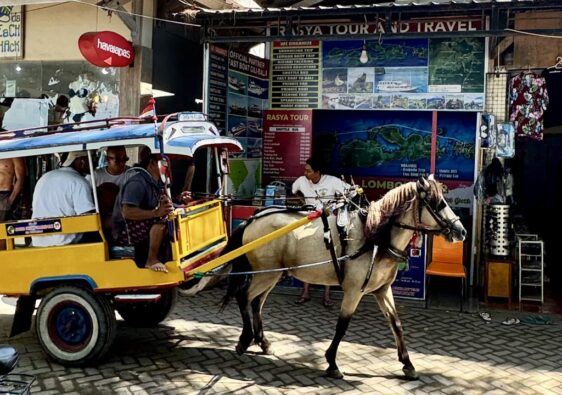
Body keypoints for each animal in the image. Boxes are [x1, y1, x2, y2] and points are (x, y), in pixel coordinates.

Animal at [219, 176, 464, 380]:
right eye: (437, 203)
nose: (461, 231)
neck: (374, 238)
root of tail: (252, 219)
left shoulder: (382, 290)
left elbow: (396, 324)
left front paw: (408, 364)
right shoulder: (354, 291)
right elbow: (342, 326)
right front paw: (332, 363)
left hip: (272, 274)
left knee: (256, 302)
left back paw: (263, 342)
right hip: (266, 274)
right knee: (244, 296)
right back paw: (245, 339)